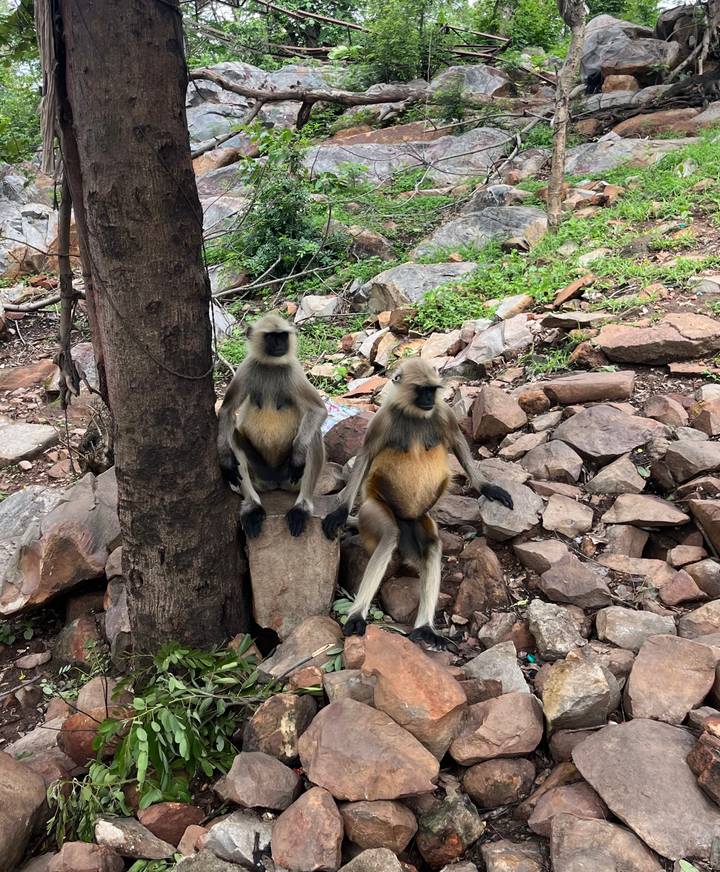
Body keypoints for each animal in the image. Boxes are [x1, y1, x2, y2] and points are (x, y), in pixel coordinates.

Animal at [217, 313, 327, 539]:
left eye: (282, 336)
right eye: (271, 337)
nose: (279, 345)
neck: (271, 365)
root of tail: (276, 482)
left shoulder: (293, 370)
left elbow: (318, 410)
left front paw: (298, 456)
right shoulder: (246, 368)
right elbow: (227, 411)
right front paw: (224, 459)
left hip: (290, 479)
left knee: (313, 435)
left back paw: (302, 507)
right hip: (260, 474)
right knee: (232, 435)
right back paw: (252, 507)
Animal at [321, 358, 513, 650]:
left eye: (432, 390)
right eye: (421, 390)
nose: (428, 400)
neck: (414, 414)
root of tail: (406, 518)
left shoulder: (442, 412)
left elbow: (458, 442)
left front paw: (486, 486)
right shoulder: (382, 419)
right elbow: (365, 456)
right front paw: (340, 512)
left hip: (419, 520)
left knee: (432, 544)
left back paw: (425, 628)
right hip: (375, 510)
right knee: (389, 535)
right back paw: (357, 615)